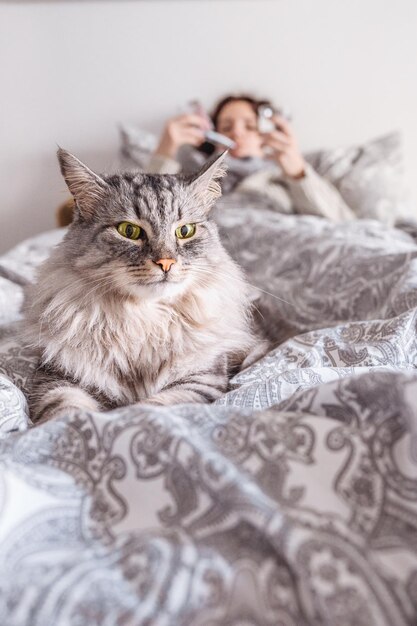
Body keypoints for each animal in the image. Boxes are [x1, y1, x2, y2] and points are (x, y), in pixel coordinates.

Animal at [22, 149, 264, 422]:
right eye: (128, 230)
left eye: (185, 231)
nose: (166, 262)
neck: (144, 320)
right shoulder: (58, 375)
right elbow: (65, 410)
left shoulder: (199, 379)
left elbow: (150, 408)